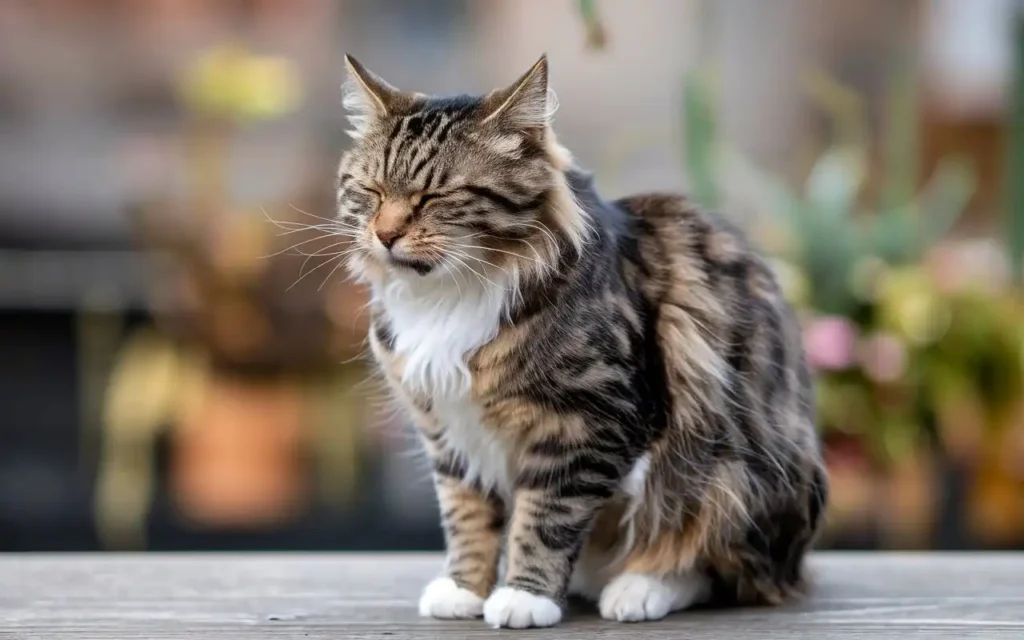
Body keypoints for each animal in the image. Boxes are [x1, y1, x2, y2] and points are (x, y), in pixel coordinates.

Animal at [337, 54, 831, 630]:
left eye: (435, 197)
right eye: (370, 192)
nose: (385, 235)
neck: (446, 296)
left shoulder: (589, 423)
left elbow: (546, 518)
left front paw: (525, 595)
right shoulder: (447, 431)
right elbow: (467, 516)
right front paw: (464, 589)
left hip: (729, 470)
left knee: (708, 558)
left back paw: (638, 588)